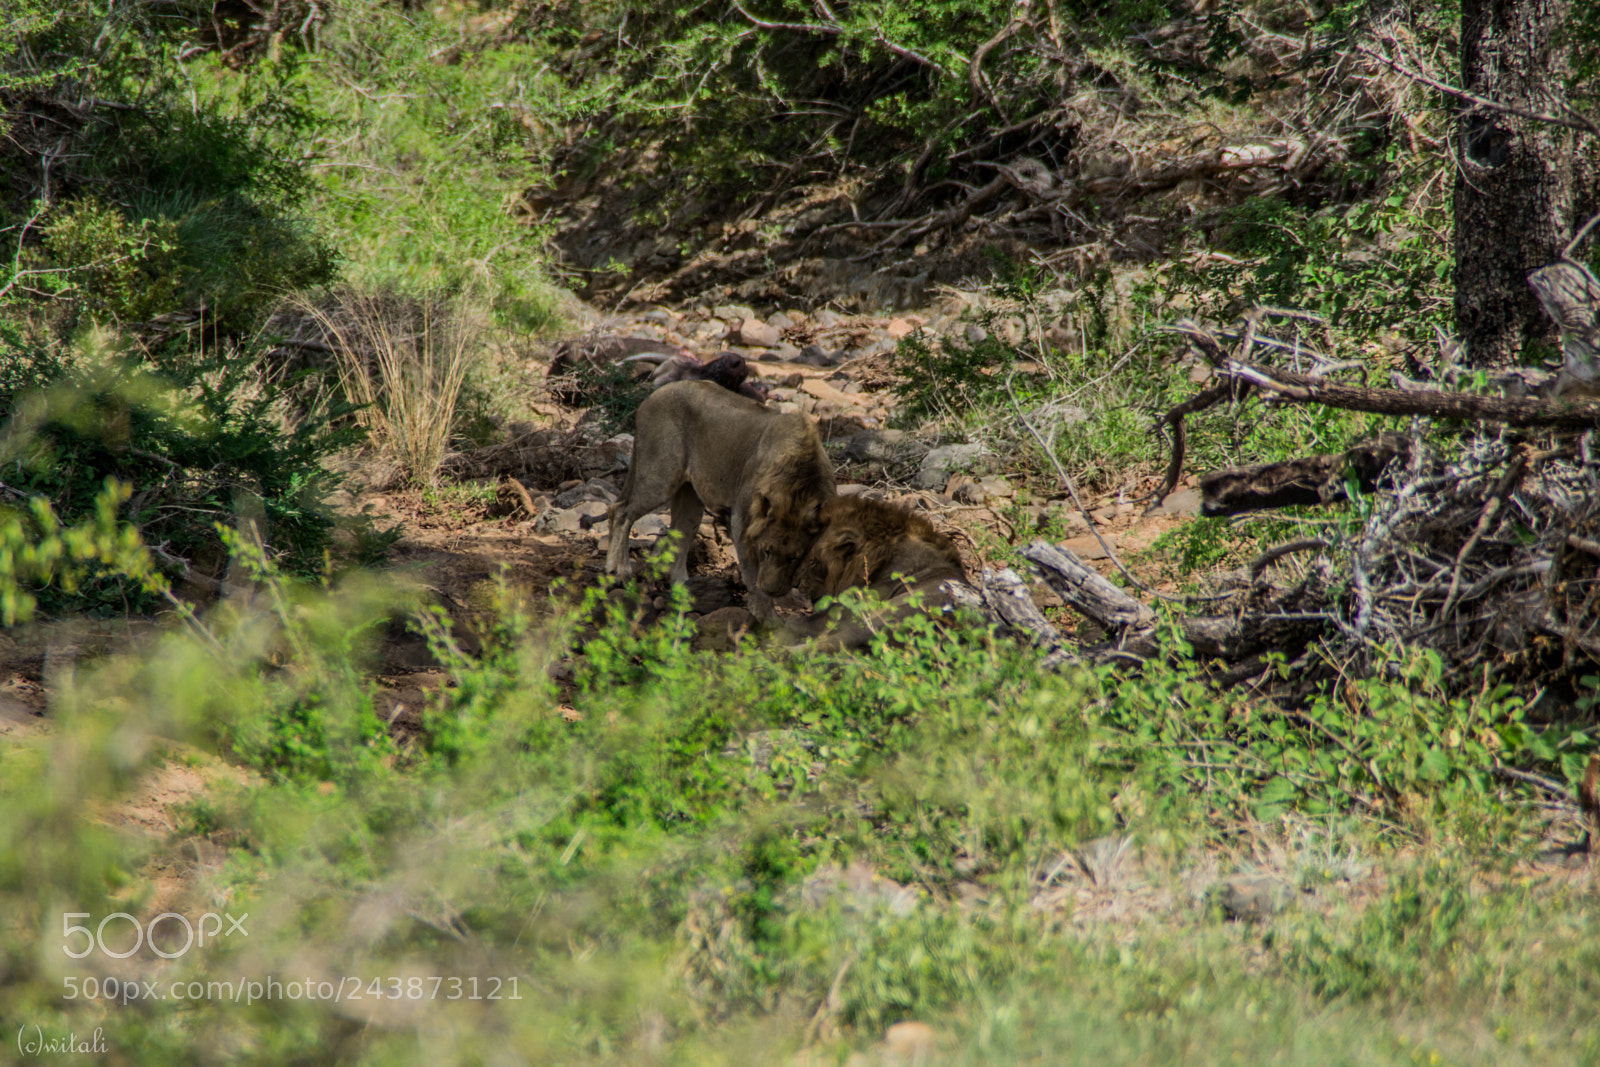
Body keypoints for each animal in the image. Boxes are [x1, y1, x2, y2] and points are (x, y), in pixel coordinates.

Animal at [604, 380, 835, 618]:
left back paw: (686, 592)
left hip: (690, 498)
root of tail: (655, 394)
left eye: (793, 558)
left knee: (678, 538)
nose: (772, 590)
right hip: (660, 477)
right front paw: (765, 614)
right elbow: (751, 573)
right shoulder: (741, 519)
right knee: (620, 510)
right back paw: (620, 571)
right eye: (766, 552)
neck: (798, 486)